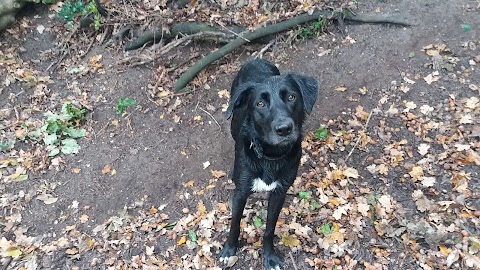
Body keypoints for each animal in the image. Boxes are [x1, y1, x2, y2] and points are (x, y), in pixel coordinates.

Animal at [220, 59, 318, 270]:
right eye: (260, 103)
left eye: (291, 97)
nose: (284, 129)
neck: (270, 157)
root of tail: (256, 59)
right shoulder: (240, 193)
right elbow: (235, 224)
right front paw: (229, 250)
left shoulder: (279, 193)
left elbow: (269, 229)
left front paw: (270, 257)